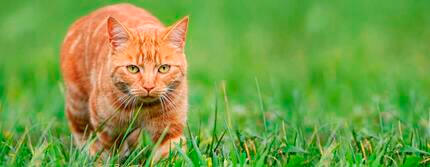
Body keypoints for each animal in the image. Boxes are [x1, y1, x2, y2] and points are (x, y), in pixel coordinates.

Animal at [60, 2, 188, 159]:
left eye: (164, 68)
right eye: (133, 68)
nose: (148, 86)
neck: (142, 108)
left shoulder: (170, 130)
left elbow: (170, 154)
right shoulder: (107, 129)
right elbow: (111, 151)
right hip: (77, 104)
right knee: (82, 132)